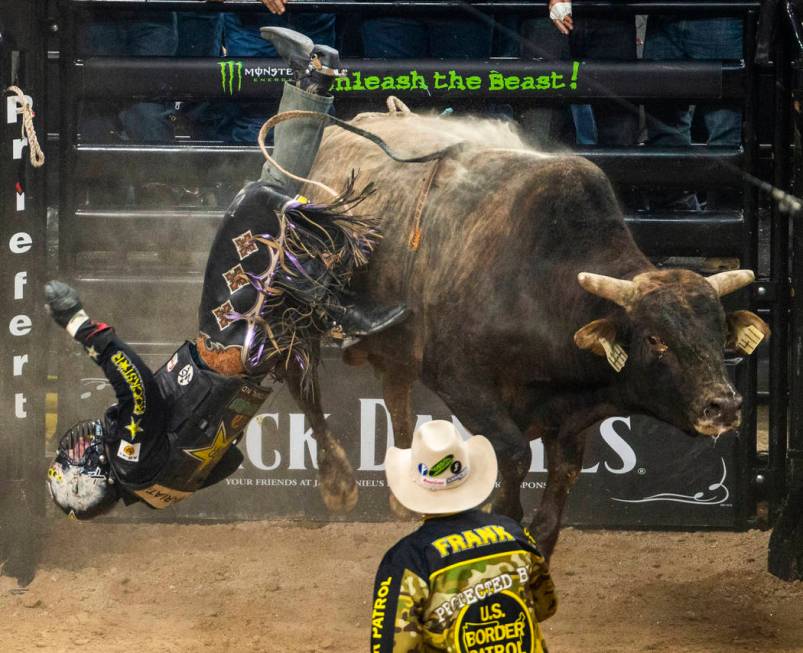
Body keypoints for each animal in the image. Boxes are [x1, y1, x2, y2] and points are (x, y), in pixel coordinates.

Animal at [290, 107, 772, 556]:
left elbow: (560, 481)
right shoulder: (462, 383)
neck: (537, 285)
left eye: (718, 333)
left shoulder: (572, 418)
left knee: (395, 392)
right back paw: (337, 482)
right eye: (656, 339)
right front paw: (496, 515)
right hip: (300, 310)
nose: (723, 406)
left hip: (399, 344)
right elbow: (515, 455)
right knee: (306, 385)